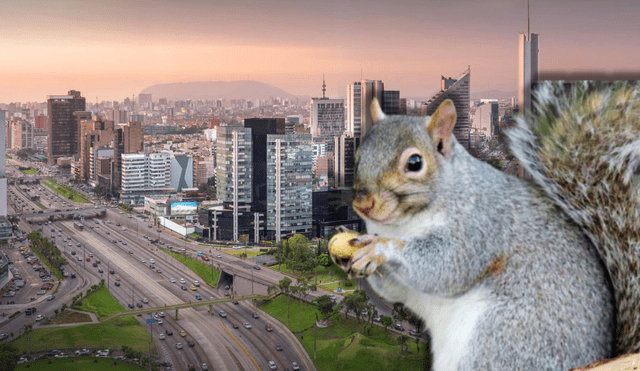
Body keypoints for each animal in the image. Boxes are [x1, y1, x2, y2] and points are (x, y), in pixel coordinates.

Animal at [330, 81, 640, 371]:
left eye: (415, 162)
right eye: (357, 157)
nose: (363, 204)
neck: (403, 224)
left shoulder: (479, 226)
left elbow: (448, 266)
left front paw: (382, 249)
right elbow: (395, 290)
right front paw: (346, 251)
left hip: (501, 339)